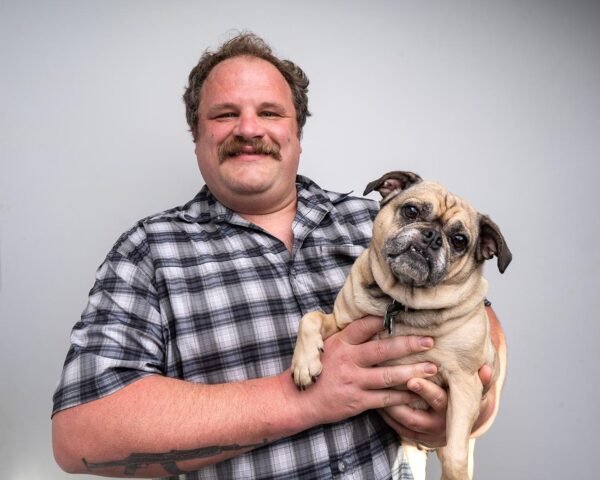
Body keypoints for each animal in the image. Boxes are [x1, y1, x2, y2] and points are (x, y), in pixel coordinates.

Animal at [290, 172, 510, 480]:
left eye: (459, 240)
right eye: (412, 211)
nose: (432, 236)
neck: (400, 303)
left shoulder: (464, 382)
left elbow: (456, 455)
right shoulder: (340, 324)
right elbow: (309, 318)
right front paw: (304, 363)